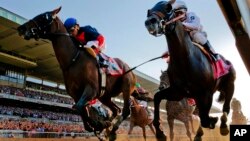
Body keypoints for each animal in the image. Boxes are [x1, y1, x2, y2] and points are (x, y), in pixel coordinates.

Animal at [17, 7, 137, 140]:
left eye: (44, 16)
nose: (21, 28)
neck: (74, 60)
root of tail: (130, 70)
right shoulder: (76, 94)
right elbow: (80, 109)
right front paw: (97, 125)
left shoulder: (91, 89)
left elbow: (80, 107)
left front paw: (98, 124)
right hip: (105, 95)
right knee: (116, 110)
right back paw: (109, 129)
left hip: (126, 87)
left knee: (125, 110)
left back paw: (112, 128)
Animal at [145, 0, 236, 140]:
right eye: (149, 11)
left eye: (168, 8)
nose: (150, 22)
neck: (185, 60)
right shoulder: (177, 92)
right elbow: (157, 97)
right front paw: (160, 132)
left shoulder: (205, 93)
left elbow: (204, 119)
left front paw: (212, 121)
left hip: (230, 85)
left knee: (226, 107)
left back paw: (223, 127)